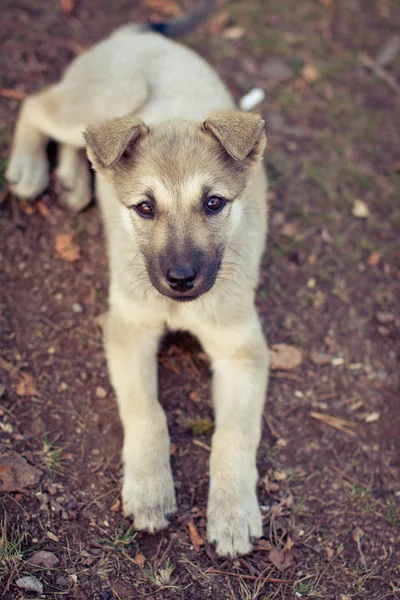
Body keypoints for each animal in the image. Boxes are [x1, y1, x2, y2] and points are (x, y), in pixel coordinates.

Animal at [7, 3, 268, 556]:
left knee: (90, 152)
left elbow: (235, 432)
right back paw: (29, 166)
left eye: (214, 203)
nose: (181, 280)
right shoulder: (128, 330)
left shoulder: (243, 351)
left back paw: (73, 180)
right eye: (145, 208)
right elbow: (148, 410)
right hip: (97, 101)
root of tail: (137, 35)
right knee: (39, 106)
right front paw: (150, 488)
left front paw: (233, 509)